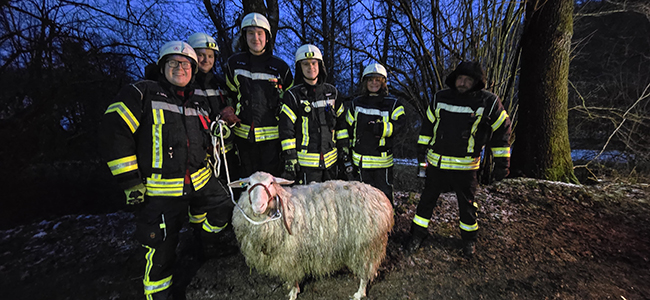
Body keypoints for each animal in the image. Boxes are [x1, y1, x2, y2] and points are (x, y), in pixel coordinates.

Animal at [225, 171, 392, 300]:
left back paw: (358, 293)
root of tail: (382, 198)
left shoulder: (290, 255)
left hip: (366, 246)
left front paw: (293, 293)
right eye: (248, 184)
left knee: (365, 272)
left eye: (271, 183)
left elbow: (293, 276)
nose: (258, 206)